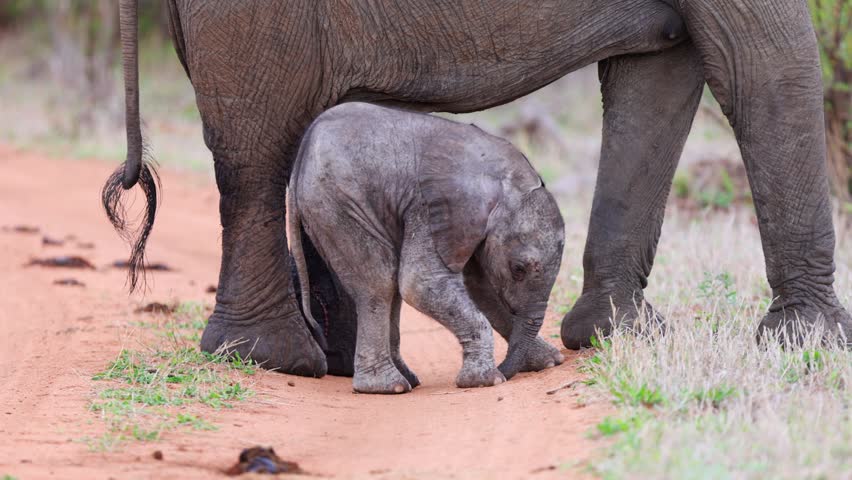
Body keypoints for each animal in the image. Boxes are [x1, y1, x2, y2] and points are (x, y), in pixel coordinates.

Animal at [287, 102, 566, 393]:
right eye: (518, 269)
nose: (506, 371)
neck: (504, 177)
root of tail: (298, 166)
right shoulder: (431, 207)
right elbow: (420, 284)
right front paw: (487, 380)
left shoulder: (465, 227)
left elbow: (481, 289)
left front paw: (549, 362)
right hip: (339, 203)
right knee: (379, 283)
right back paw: (390, 387)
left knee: (389, 286)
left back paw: (406, 379)